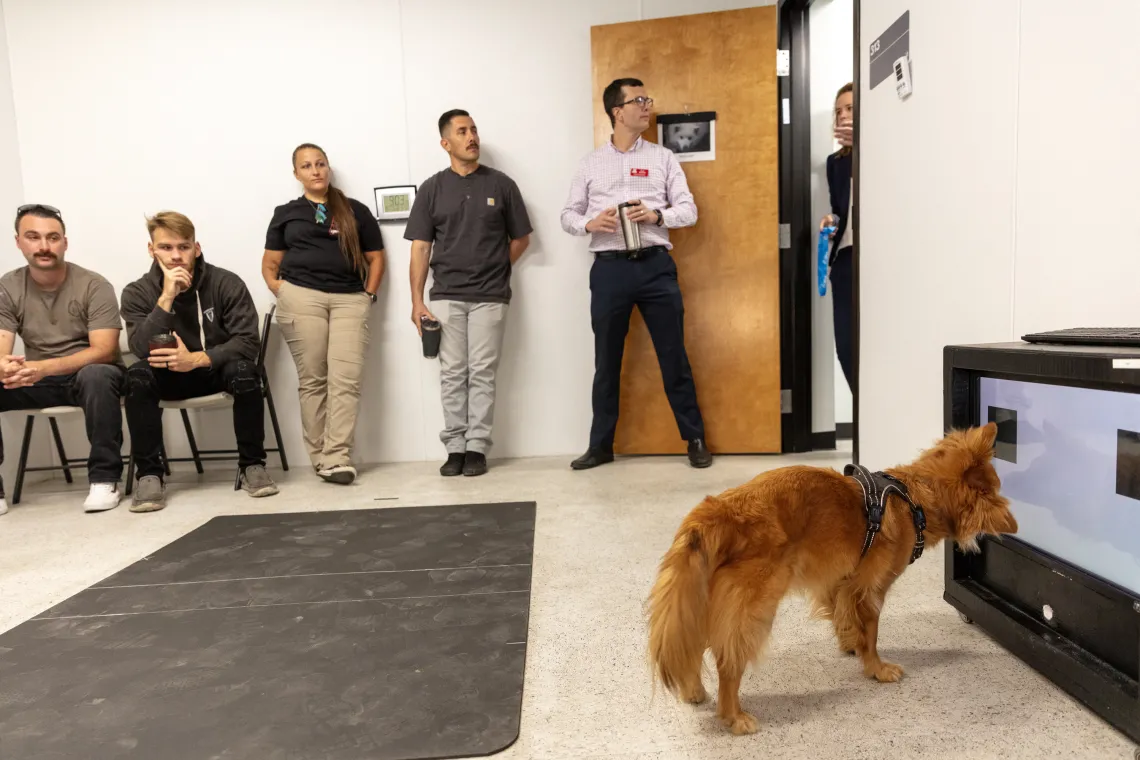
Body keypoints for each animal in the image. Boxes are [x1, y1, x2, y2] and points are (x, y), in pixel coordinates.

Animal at [647, 426, 1021, 733]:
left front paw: (849, 644)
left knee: (691, 646)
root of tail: (718, 511)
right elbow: (871, 632)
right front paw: (876, 667)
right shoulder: (871, 589)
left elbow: (844, 619)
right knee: (727, 662)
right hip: (754, 609)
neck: (915, 497)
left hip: (697, 600)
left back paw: (694, 691)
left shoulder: (838, 582)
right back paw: (733, 716)